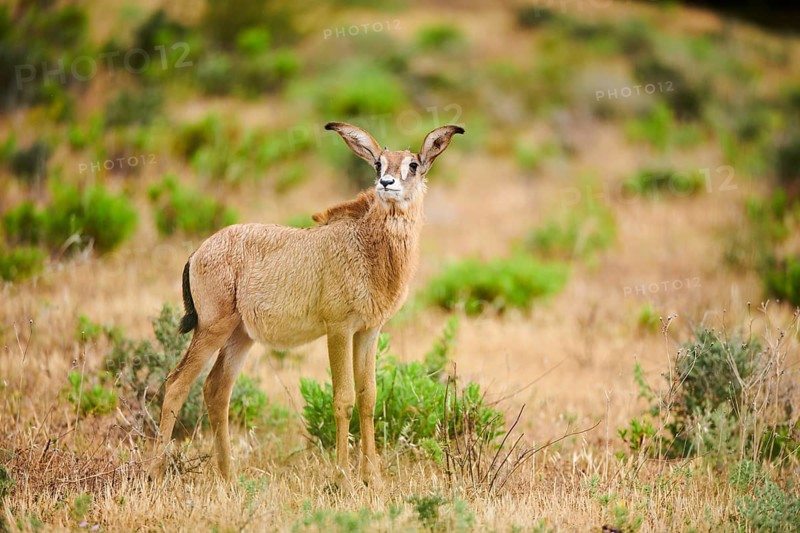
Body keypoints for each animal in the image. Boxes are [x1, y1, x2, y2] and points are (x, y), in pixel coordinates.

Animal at [149, 122, 464, 484]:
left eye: (413, 164)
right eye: (378, 163)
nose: (386, 183)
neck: (367, 247)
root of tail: (198, 252)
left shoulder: (368, 331)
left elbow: (368, 397)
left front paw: (372, 477)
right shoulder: (339, 329)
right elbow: (343, 399)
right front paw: (342, 475)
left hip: (240, 336)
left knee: (216, 389)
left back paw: (229, 477)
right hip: (212, 329)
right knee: (176, 384)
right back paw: (155, 473)